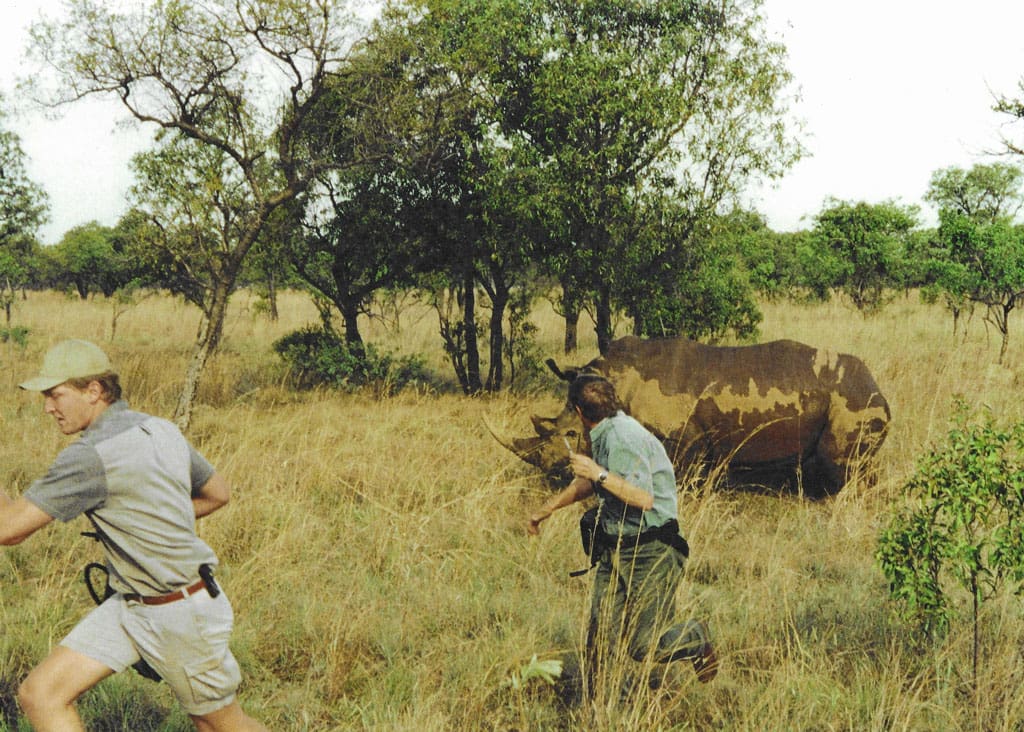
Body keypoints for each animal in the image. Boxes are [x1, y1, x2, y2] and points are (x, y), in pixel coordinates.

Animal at [493, 336, 891, 498]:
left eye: (575, 435)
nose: (555, 476)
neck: (617, 380)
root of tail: (878, 387)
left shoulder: (684, 440)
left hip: (853, 400)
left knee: (843, 465)